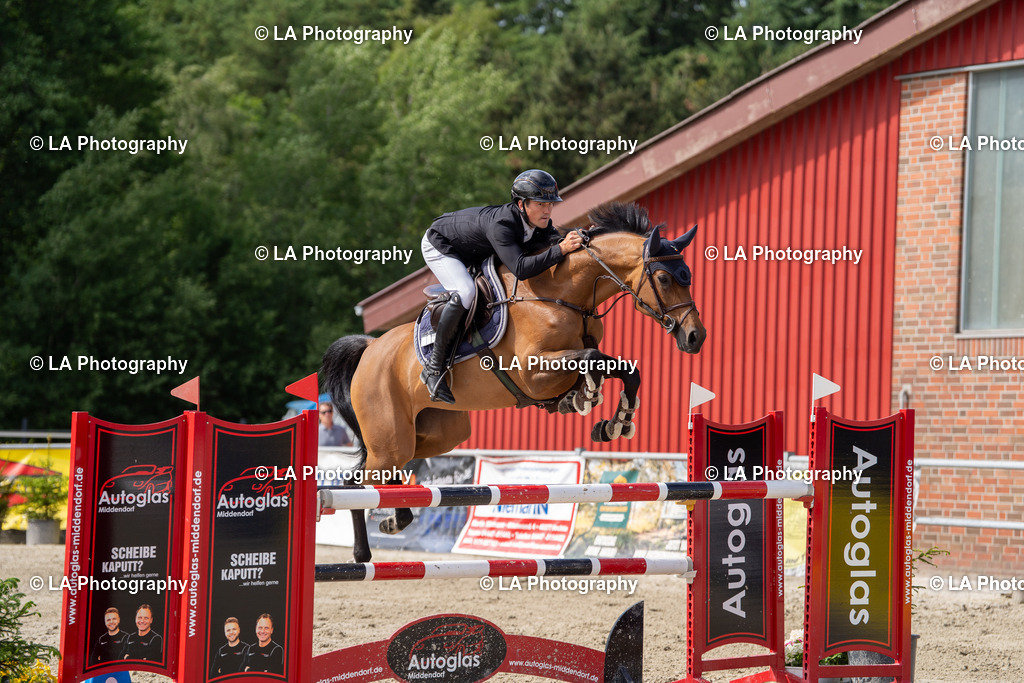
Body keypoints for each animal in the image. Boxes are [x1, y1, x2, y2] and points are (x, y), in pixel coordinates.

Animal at [321, 202, 706, 562]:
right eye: (665, 279)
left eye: (688, 276)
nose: (695, 337)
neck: (563, 293)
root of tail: (370, 349)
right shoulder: (534, 373)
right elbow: (592, 359)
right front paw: (588, 398)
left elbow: (625, 369)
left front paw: (613, 421)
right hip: (390, 440)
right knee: (366, 478)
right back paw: (371, 544)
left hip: (435, 435)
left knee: (368, 477)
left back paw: (385, 529)